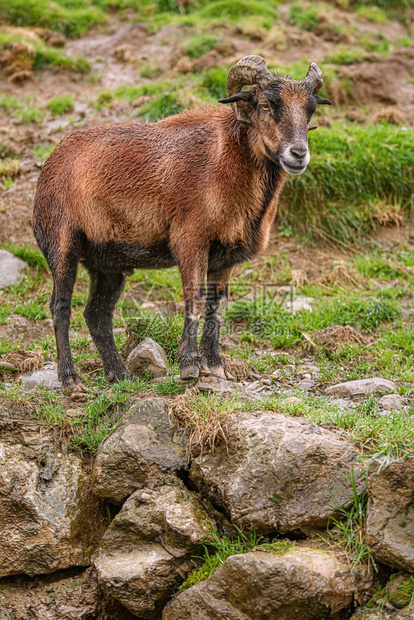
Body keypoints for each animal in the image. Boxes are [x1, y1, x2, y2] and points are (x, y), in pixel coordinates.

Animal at [31, 54, 330, 392]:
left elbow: (216, 307)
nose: (299, 154)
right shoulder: (191, 241)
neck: (226, 159)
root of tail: (51, 163)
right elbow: (195, 299)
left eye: (311, 109)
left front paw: (216, 365)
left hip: (107, 262)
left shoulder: (225, 255)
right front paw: (189, 365)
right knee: (60, 307)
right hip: (61, 243)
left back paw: (121, 375)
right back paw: (70, 379)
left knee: (97, 314)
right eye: (266, 104)